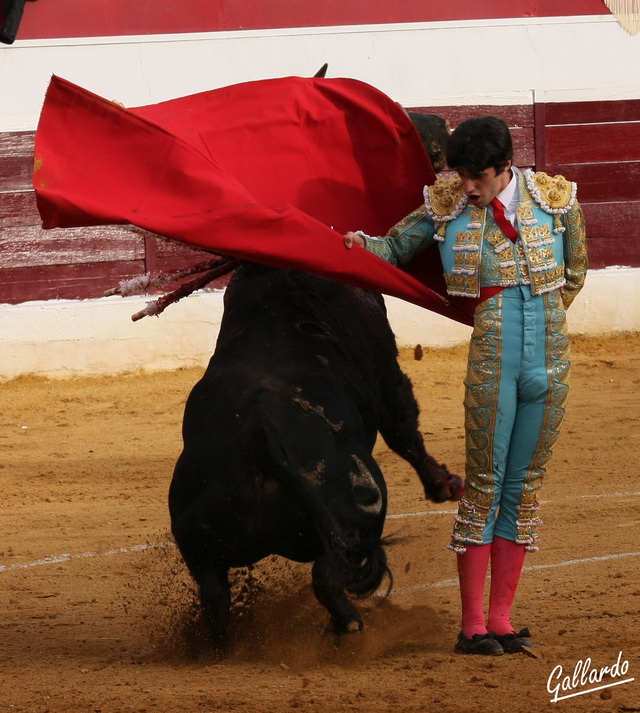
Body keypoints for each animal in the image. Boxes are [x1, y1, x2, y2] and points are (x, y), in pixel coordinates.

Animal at [168, 260, 462, 644]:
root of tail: (262, 442)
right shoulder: (386, 370)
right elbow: (403, 428)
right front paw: (443, 485)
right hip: (357, 514)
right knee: (326, 576)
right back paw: (349, 624)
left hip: (198, 542)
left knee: (215, 595)